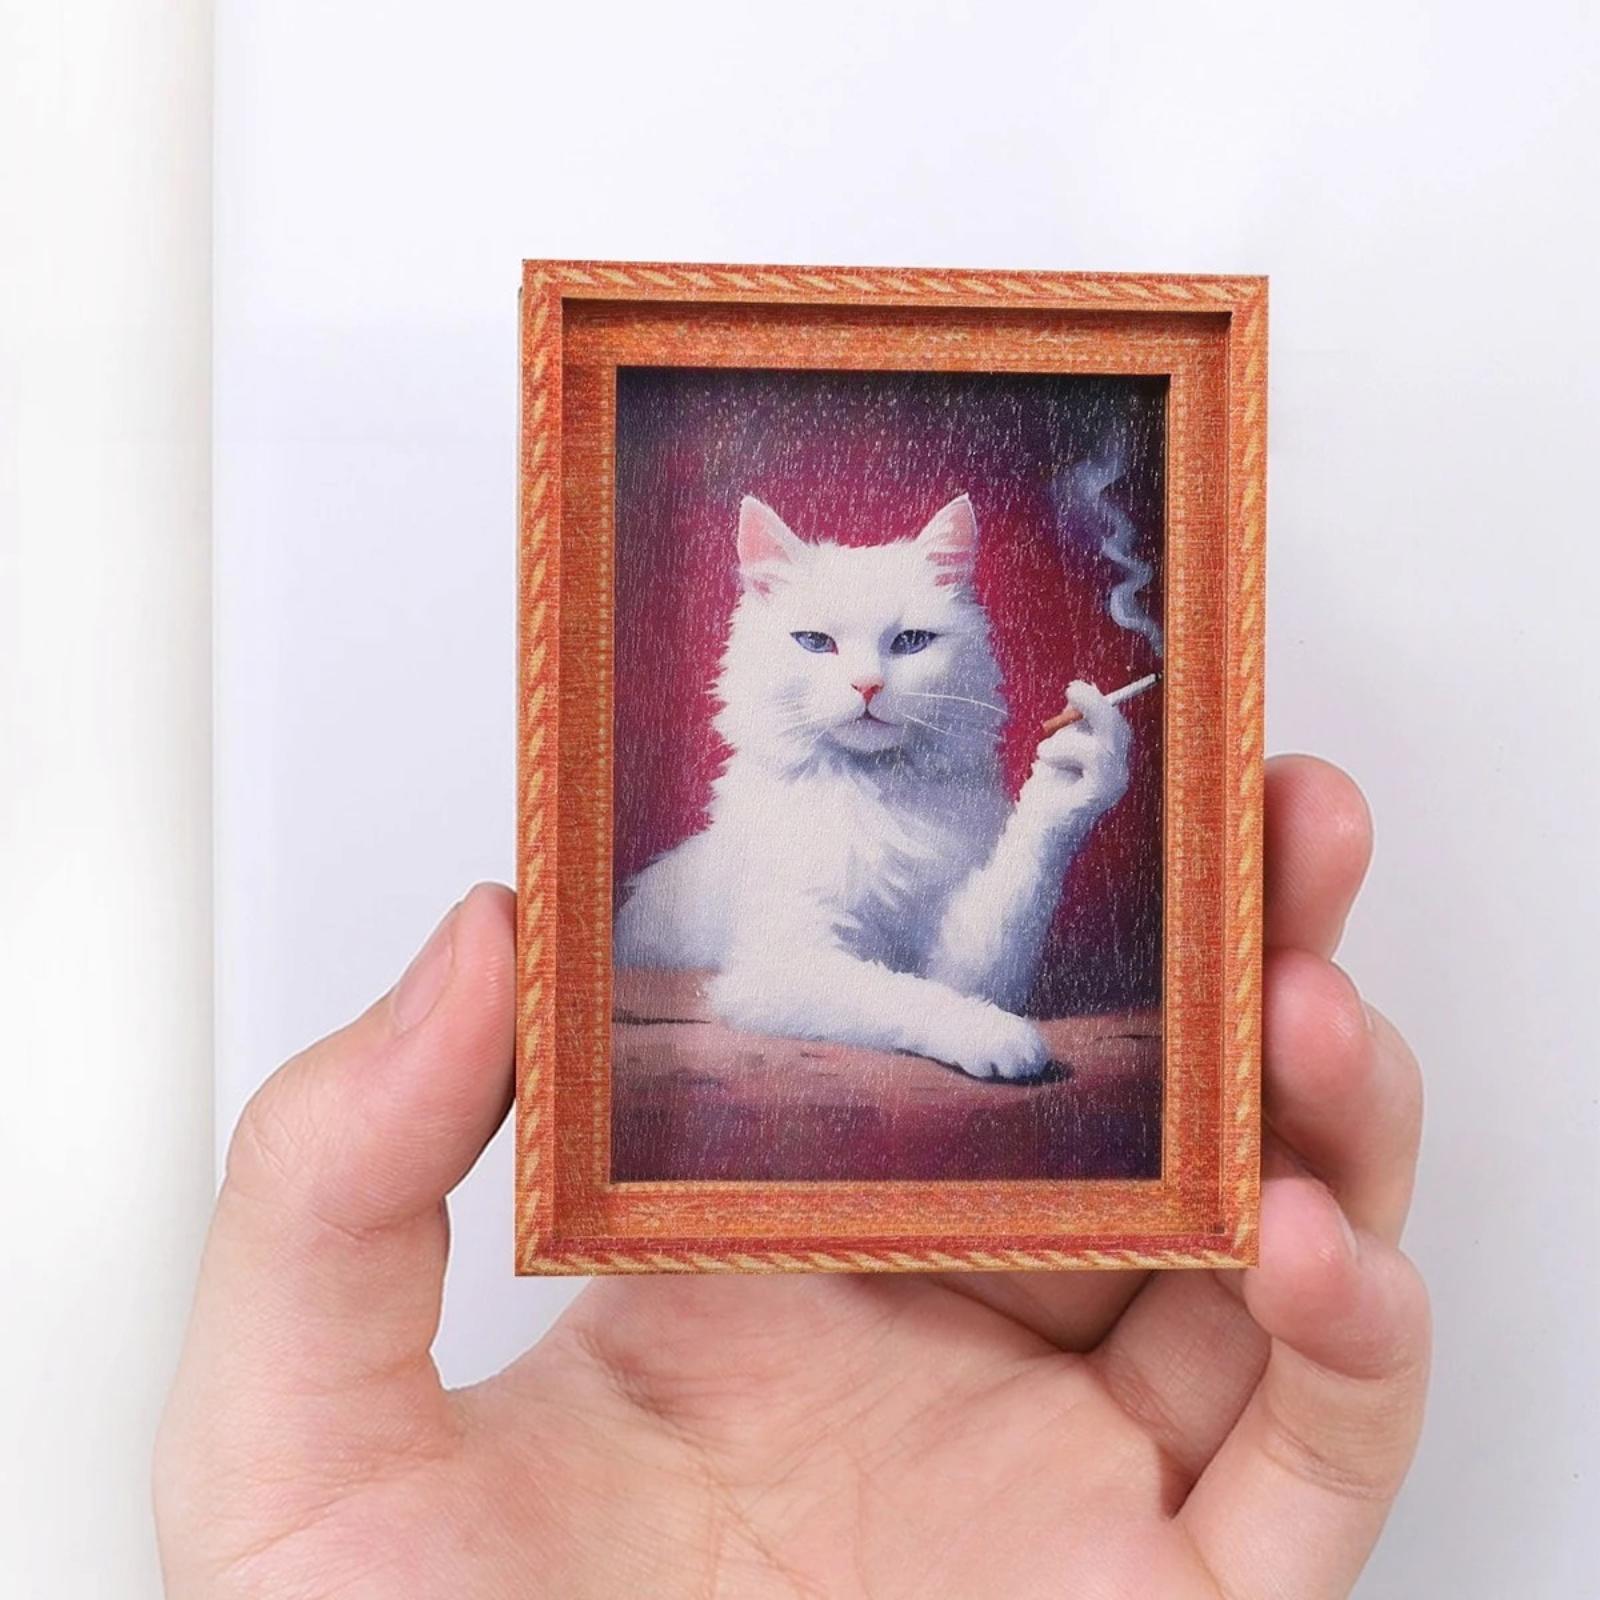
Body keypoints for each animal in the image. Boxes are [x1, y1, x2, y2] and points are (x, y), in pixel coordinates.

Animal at [613, 493, 1132, 1080]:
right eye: (815, 643)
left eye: (910, 643)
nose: (867, 686)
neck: (877, 793)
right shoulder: (777, 964)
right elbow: (896, 993)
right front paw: (998, 1036)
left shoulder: (966, 960)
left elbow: (997, 921)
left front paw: (1078, 758)